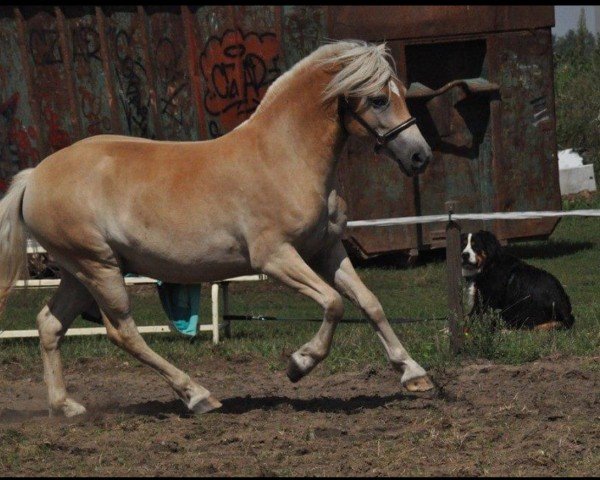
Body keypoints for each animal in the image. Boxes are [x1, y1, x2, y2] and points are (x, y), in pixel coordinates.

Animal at [0, 40, 434, 416]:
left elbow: (369, 302)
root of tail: (34, 177)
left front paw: (414, 374)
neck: (285, 156)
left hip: (78, 273)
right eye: (378, 99)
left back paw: (66, 406)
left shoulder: (326, 250)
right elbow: (333, 303)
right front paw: (299, 363)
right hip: (99, 267)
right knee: (123, 332)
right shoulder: (275, 257)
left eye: (400, 93)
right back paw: (197, 395)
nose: (420, 156)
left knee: (49, 325)